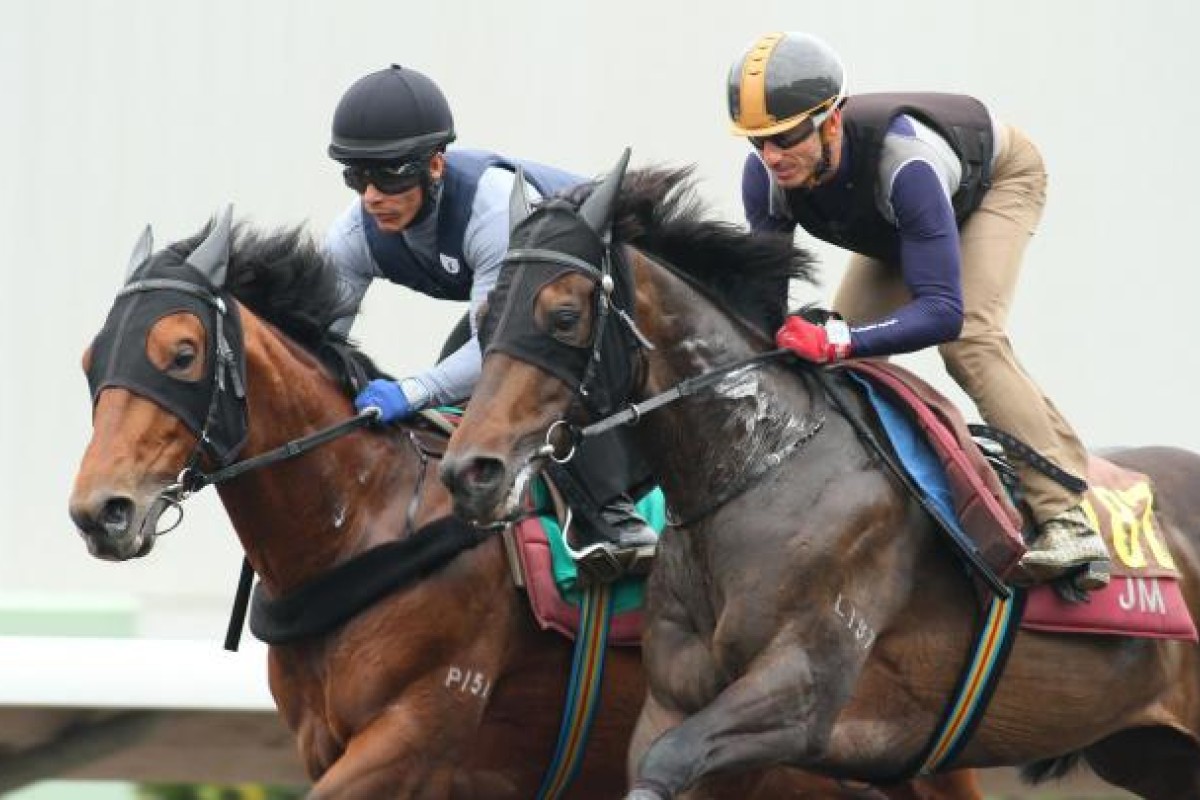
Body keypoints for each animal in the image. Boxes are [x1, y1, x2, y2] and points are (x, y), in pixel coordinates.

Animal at [68, 212, 984, 800]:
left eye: (180, 353)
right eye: (89, 361)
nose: (98, 511)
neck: (361, 525)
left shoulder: (415, 732)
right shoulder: (335, 748)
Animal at [444, 151, 1200, 800]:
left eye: (564, 315)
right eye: (482, 319)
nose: (468, 470)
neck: (763, 462)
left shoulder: (802, 691)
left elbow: (671, 762)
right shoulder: (675, 698)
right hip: (1151, 754)